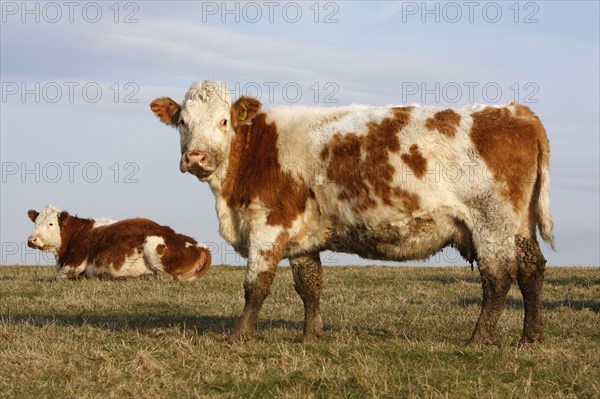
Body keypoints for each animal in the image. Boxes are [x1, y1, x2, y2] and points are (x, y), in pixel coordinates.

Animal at [27, 206, 211, 282]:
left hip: (153, 243)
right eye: (35, 221)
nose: (31, 239)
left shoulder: (74, 264)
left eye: (51, 223)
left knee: (168, 277)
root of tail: (199, 244)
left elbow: (57, 277)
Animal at [150, 79, 552, 346]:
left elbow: (256, 286)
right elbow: (309, 285)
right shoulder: (301, 234)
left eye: (223, 121)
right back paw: (530, 338)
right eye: (183, 122)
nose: (196, 157)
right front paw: (311, 337)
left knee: (498, 278)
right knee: (531, 268)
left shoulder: (267, 224)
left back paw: (478, 340)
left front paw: (239, 337)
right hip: (519, 225)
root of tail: (517, 112)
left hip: (491, 222)